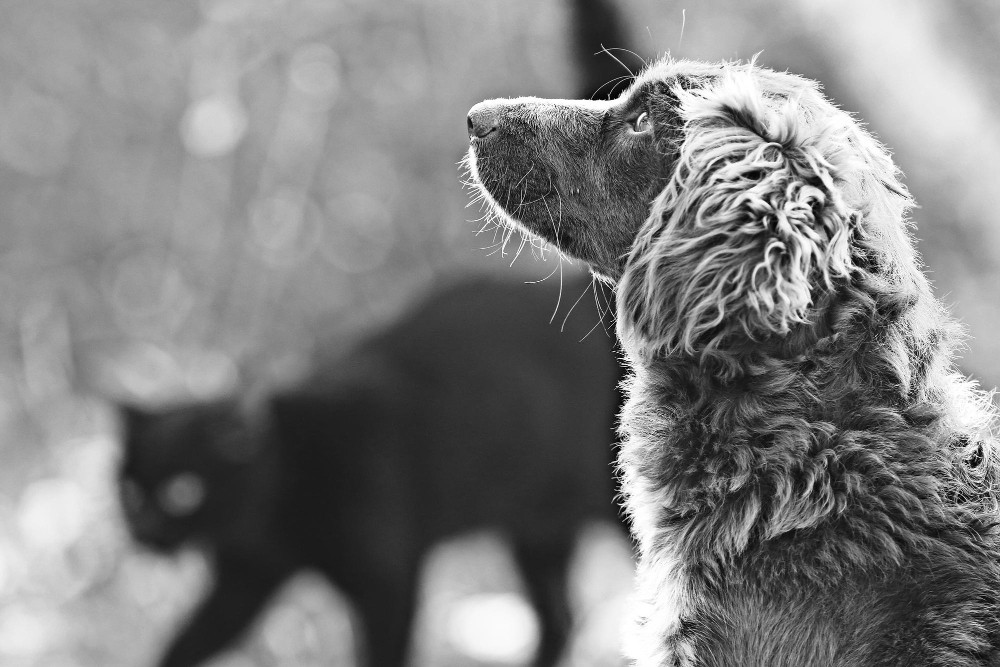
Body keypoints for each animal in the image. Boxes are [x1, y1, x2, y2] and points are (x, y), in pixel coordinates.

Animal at [119, 272, 624, 667]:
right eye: (129, 493)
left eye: (183, 491)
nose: (143, 531)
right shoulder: (243, 583)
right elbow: (184, 646)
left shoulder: (387, 584)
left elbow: (382, 655)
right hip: (536, 532)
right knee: (560, 620)